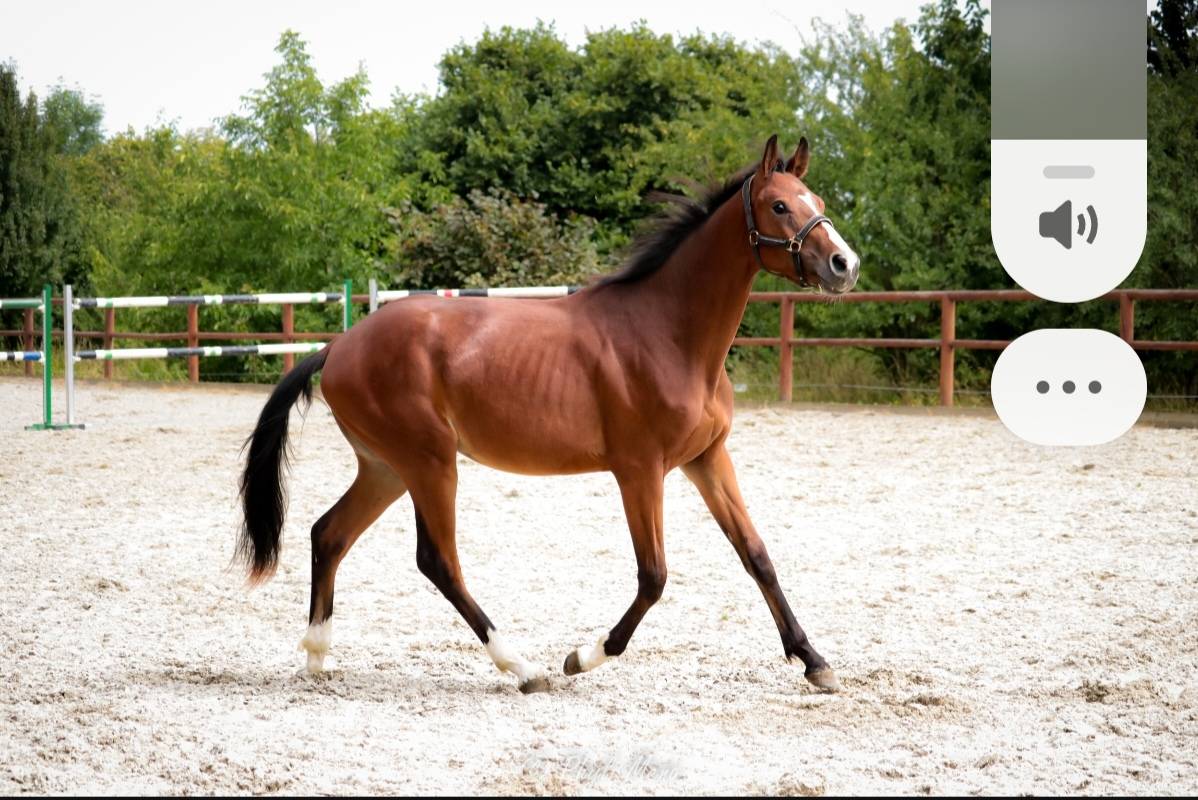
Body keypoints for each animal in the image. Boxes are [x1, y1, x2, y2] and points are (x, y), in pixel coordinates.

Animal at [238, 134, 860, 693]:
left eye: (817, 201)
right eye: (779, 206)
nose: (844, 264)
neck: (668, 334)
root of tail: (338, 347)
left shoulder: (707, 458)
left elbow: (756, 555)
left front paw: (814, 662)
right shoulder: (640, 471)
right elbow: (654, 575)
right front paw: (584, 657)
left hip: (387, 469)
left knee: (329, 533)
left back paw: (317, 656)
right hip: (429, 464)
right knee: (438, 561)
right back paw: (523, 667)